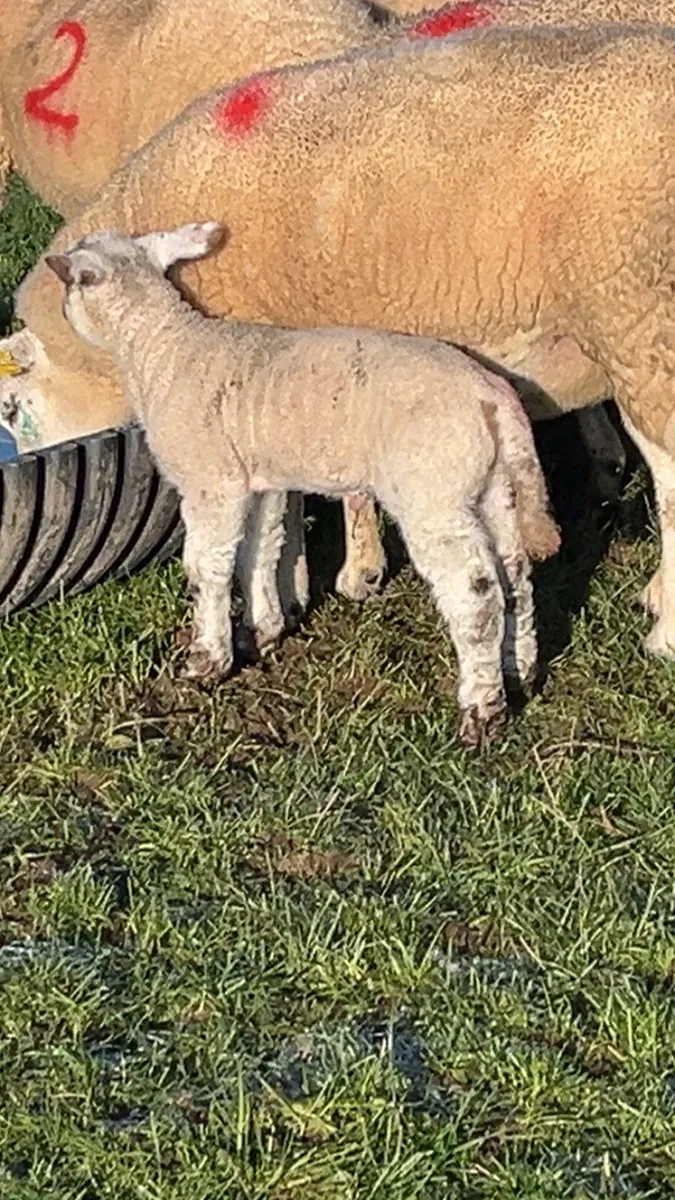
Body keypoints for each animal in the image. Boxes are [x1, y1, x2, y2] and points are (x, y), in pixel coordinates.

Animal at [6, 26, 675, 655]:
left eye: (12, 408)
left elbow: (278, 512)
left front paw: (290, 595)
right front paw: (312, 585)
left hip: (640, 315)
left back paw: (663, 632)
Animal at [46, 221, 560, 745]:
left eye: (70, 283)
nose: (61, 306)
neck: (162, 349)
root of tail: (491, 398)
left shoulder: (213, 481)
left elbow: (207, 568)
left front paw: (206, 660)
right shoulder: (260, 481)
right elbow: (260, 550)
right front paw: (262, 630)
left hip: (433, 490)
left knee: (475, 592)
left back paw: (481, 710)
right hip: (494, 487)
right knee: (515, 575)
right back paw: (519, 670)